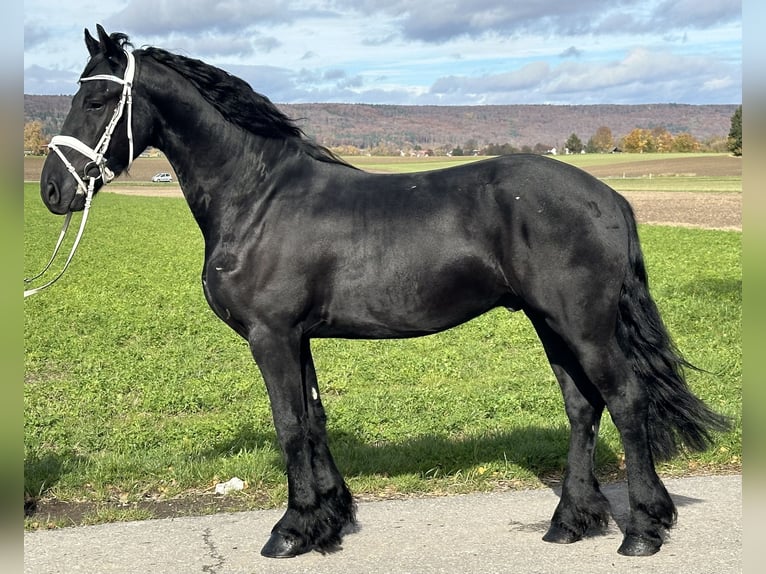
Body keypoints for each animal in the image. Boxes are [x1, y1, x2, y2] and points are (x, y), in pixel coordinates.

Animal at [37, 25, 730, 559]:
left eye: (99, 97)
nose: (52, 190)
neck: (259, 197)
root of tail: (610, 197)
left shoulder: (271, 336)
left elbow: (289, 424)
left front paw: (290, 531)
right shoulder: (296, 337)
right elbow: (313, 419)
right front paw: (329, 521)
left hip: (584, 325)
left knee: (626, 401)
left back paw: (642, 530)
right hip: (549, 323)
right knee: (583, 407)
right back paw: (570, 523)